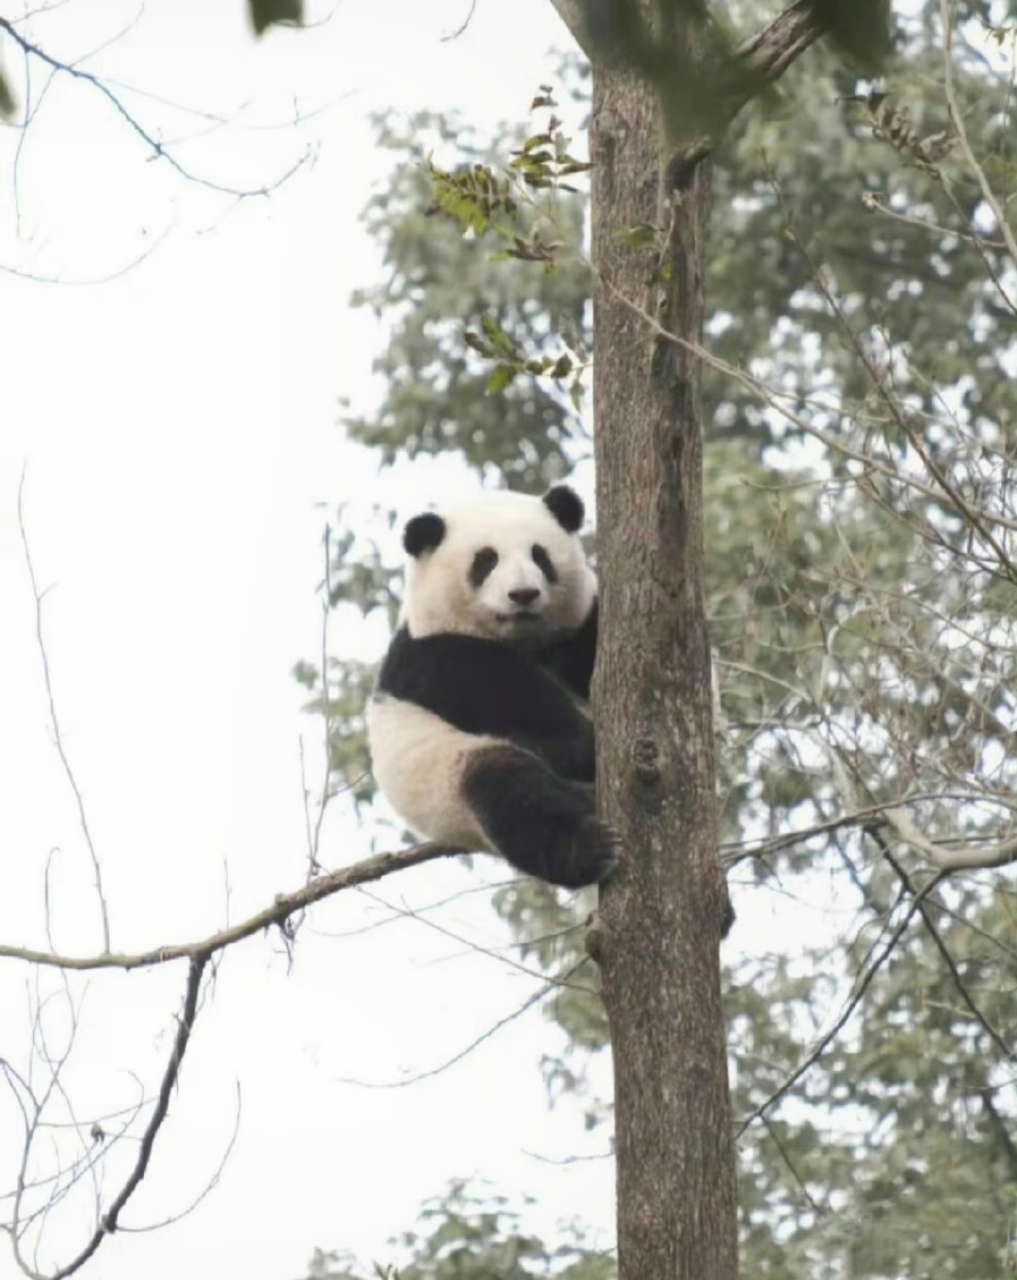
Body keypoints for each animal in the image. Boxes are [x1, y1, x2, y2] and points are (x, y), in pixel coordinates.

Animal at [370, 481, 616, 890]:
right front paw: (581, 746)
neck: (521, 638)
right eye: (486, 560)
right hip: (452, 779)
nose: (523, 594)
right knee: (509, 793)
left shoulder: (580, 624)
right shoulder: (428, 652)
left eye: (539, 555)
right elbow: (499, 690)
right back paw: (588, 848)